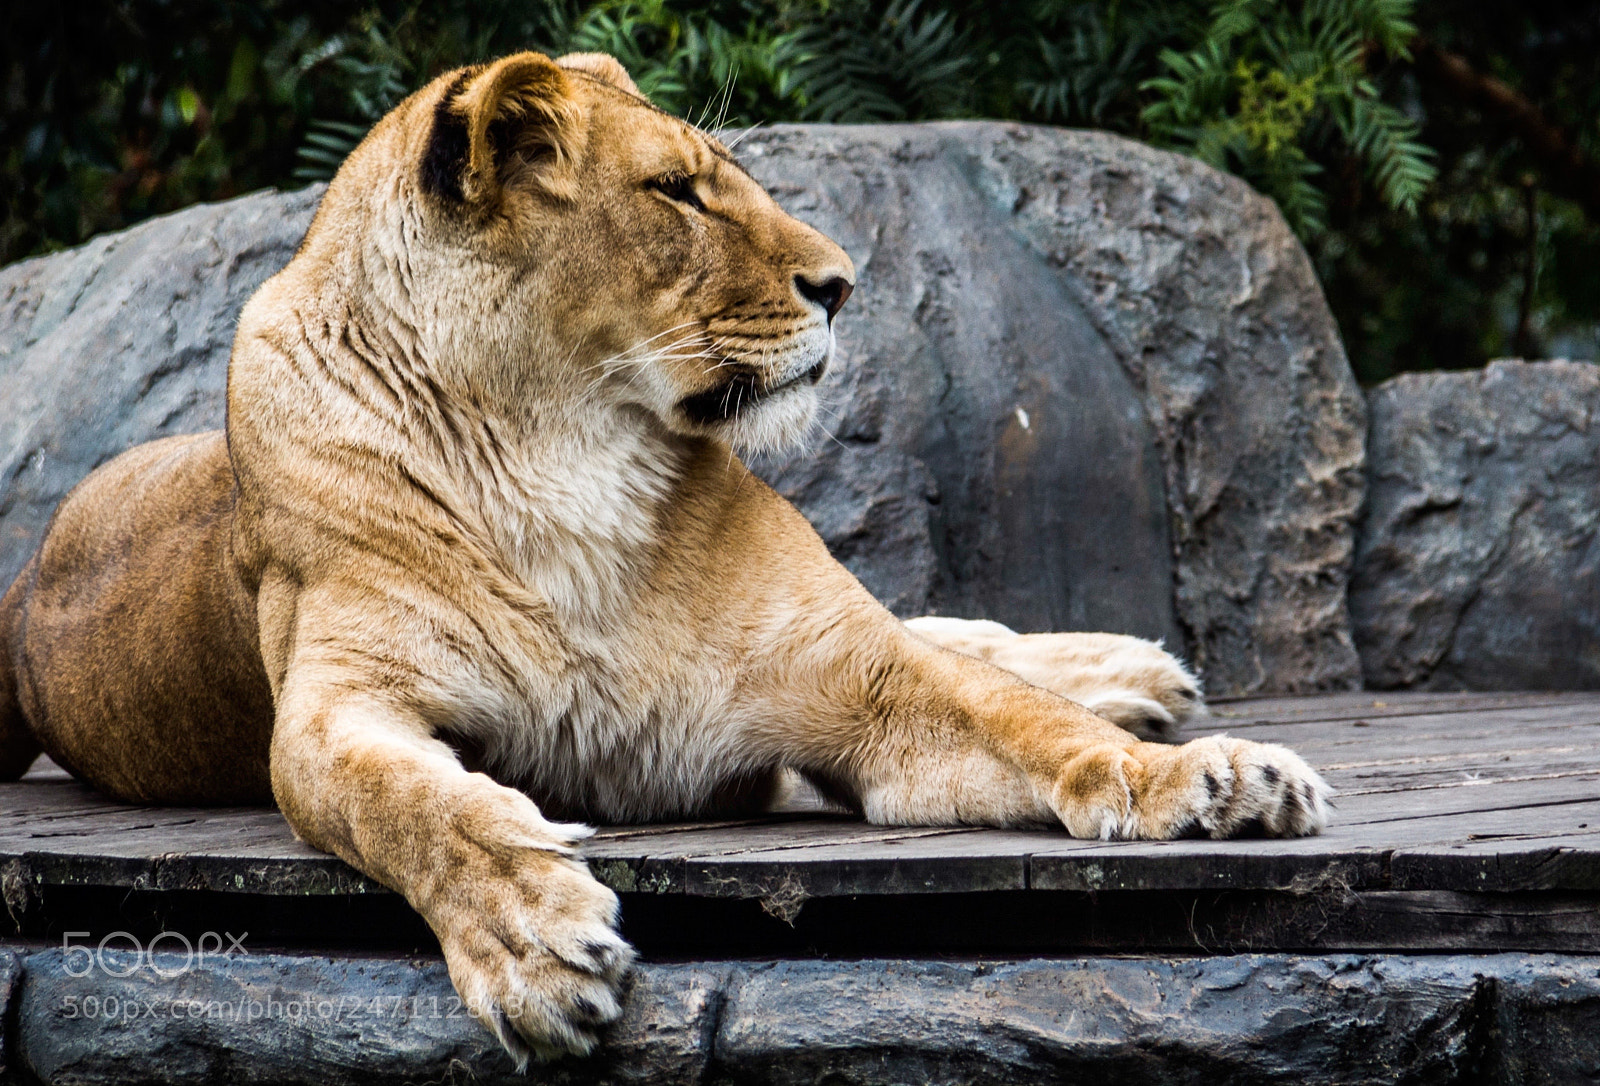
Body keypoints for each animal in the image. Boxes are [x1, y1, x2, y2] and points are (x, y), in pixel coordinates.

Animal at [0, 51, 1329, 1062]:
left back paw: (1142, 681)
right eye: (677, 193)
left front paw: (1209, 781)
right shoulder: (334, 710)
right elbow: (415, 807)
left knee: (967, 635)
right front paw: (535, 942)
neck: (561, 446)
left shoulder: (859, 678)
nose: (843, 284)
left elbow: (1022, 720)